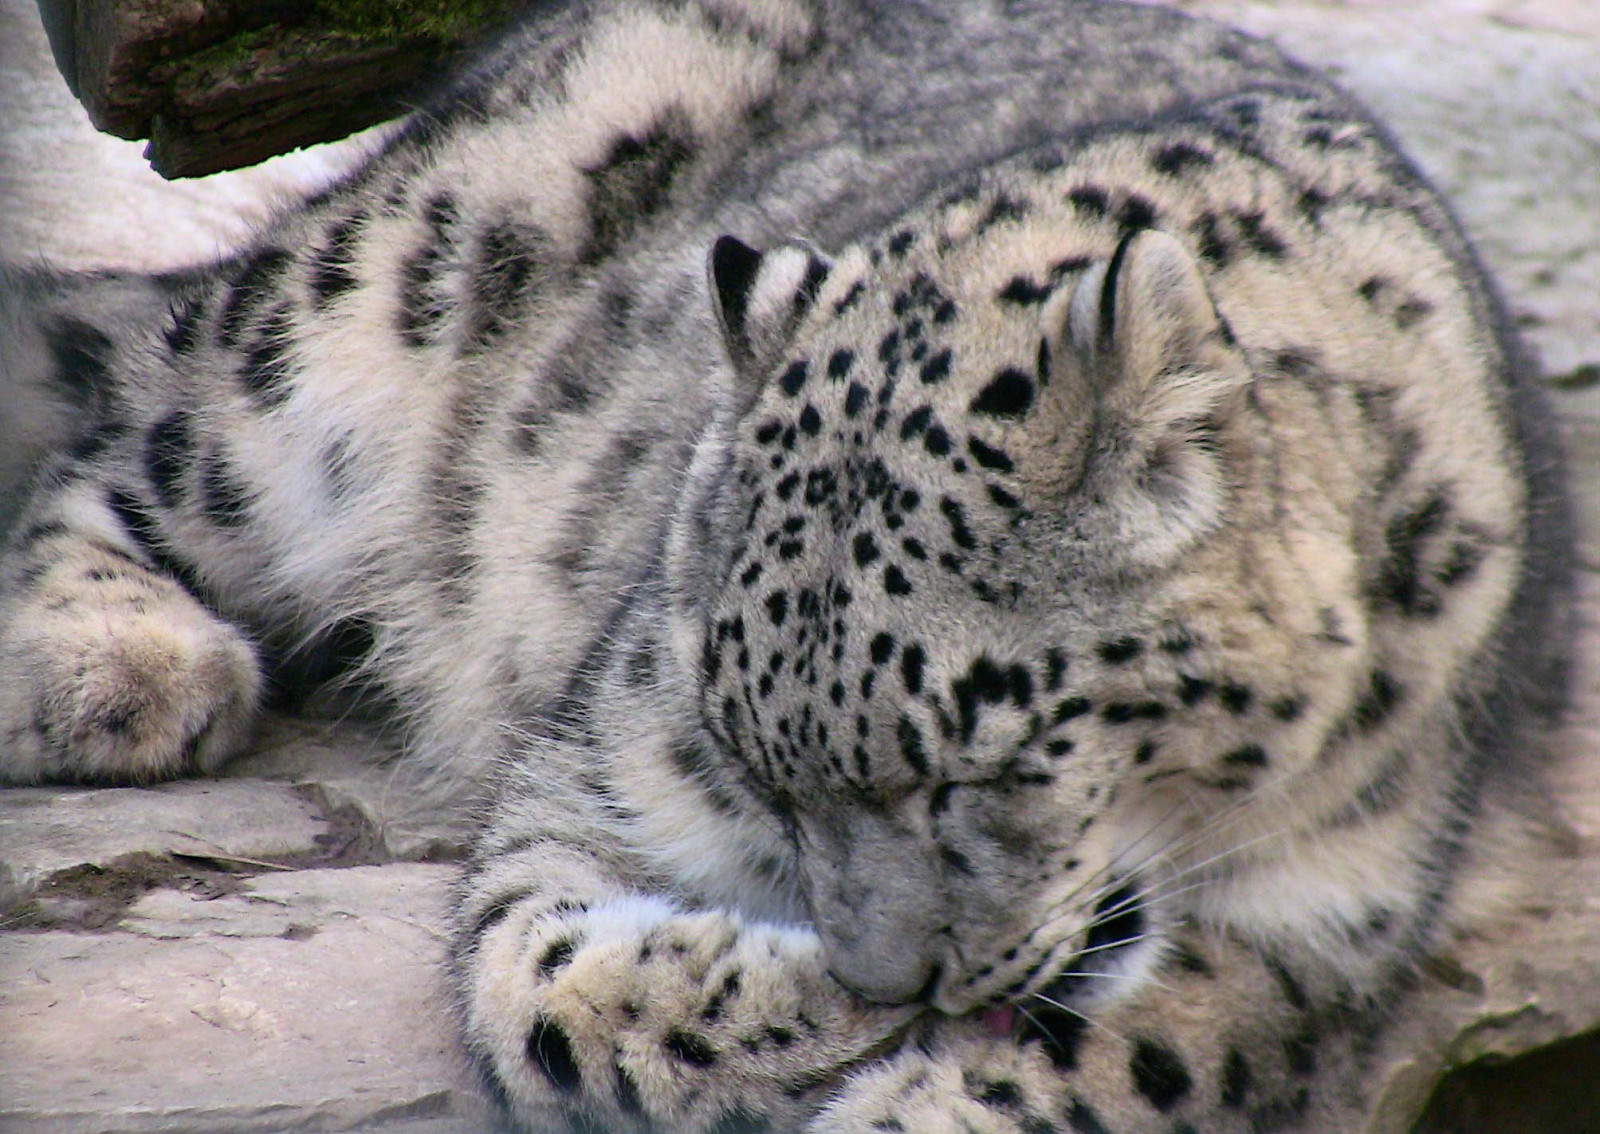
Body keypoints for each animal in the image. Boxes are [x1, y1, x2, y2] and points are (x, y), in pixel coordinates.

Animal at [0, 1, 1572, 1131]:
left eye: (982, 772)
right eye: (755, 764)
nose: (889, 975)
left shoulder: (1313, 932)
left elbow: (1130, 1065)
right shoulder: (605, 761)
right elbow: (538, 975)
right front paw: (792, 1001)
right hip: (355, 318)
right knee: (121, 436)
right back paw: (114, 661)